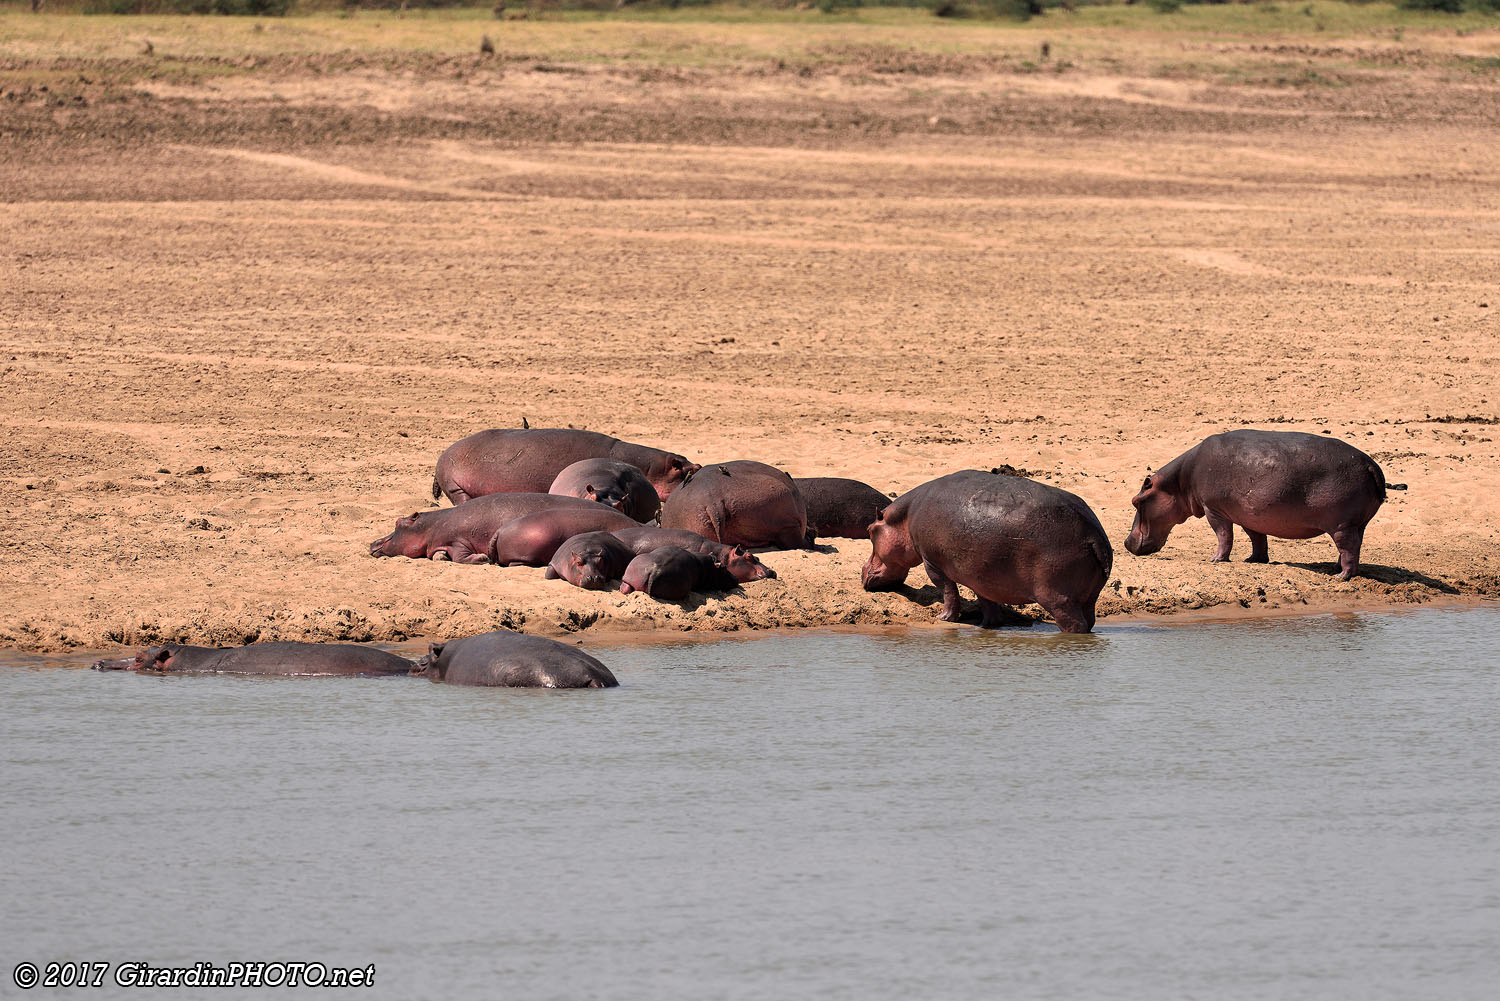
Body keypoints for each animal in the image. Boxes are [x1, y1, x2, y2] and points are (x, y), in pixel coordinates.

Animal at [369, 492, 604, 563]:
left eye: (398, 522)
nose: (373, 542)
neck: (430, 526)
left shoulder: (458, 539)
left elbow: (460, 556)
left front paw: (480, 558)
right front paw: (441, 557)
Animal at [861, 470, 1112, 634]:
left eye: (870, 531)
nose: (862, 570)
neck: (904, 517)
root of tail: (1093, 535)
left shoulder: (931, 561)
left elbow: (948, 590)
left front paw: (945, 618)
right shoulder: (980, 574)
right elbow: (986, 600)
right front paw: (989, 625)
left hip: (1058, 597)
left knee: (1075, 625)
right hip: (1089, 596)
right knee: (1089, 620)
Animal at [1124, 429, 1387, 580]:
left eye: (1136, 501)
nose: (1126, 542)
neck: (1179, 481)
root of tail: (1370, 465)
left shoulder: (1213, 509)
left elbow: (1223, 535)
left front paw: (1215, 560)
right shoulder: (1248, 514)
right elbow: (1256, 537)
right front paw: (1254, 560)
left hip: (1342, 525)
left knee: (1349, 548)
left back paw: (1341, 576)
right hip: (1357, 524)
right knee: (1352, 547)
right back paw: (1335, 568)